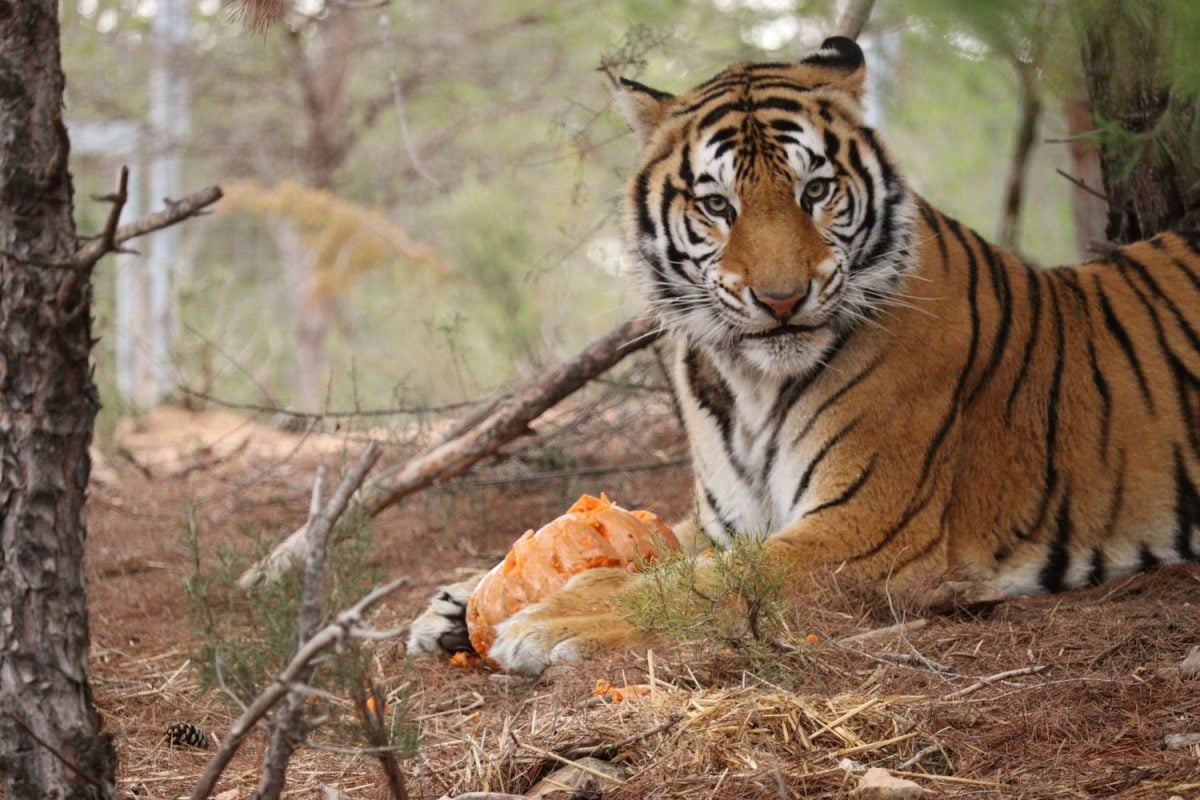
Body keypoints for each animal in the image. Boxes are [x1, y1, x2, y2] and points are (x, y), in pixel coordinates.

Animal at [408, 35, 1200, 676]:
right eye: (718, 205)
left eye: (815, 190)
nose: (782, 299)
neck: (748, 382)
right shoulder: (728, 519)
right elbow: (664, 547)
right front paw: (456, 605)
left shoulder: (864, 529)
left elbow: (704, 581)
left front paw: (547, 619)